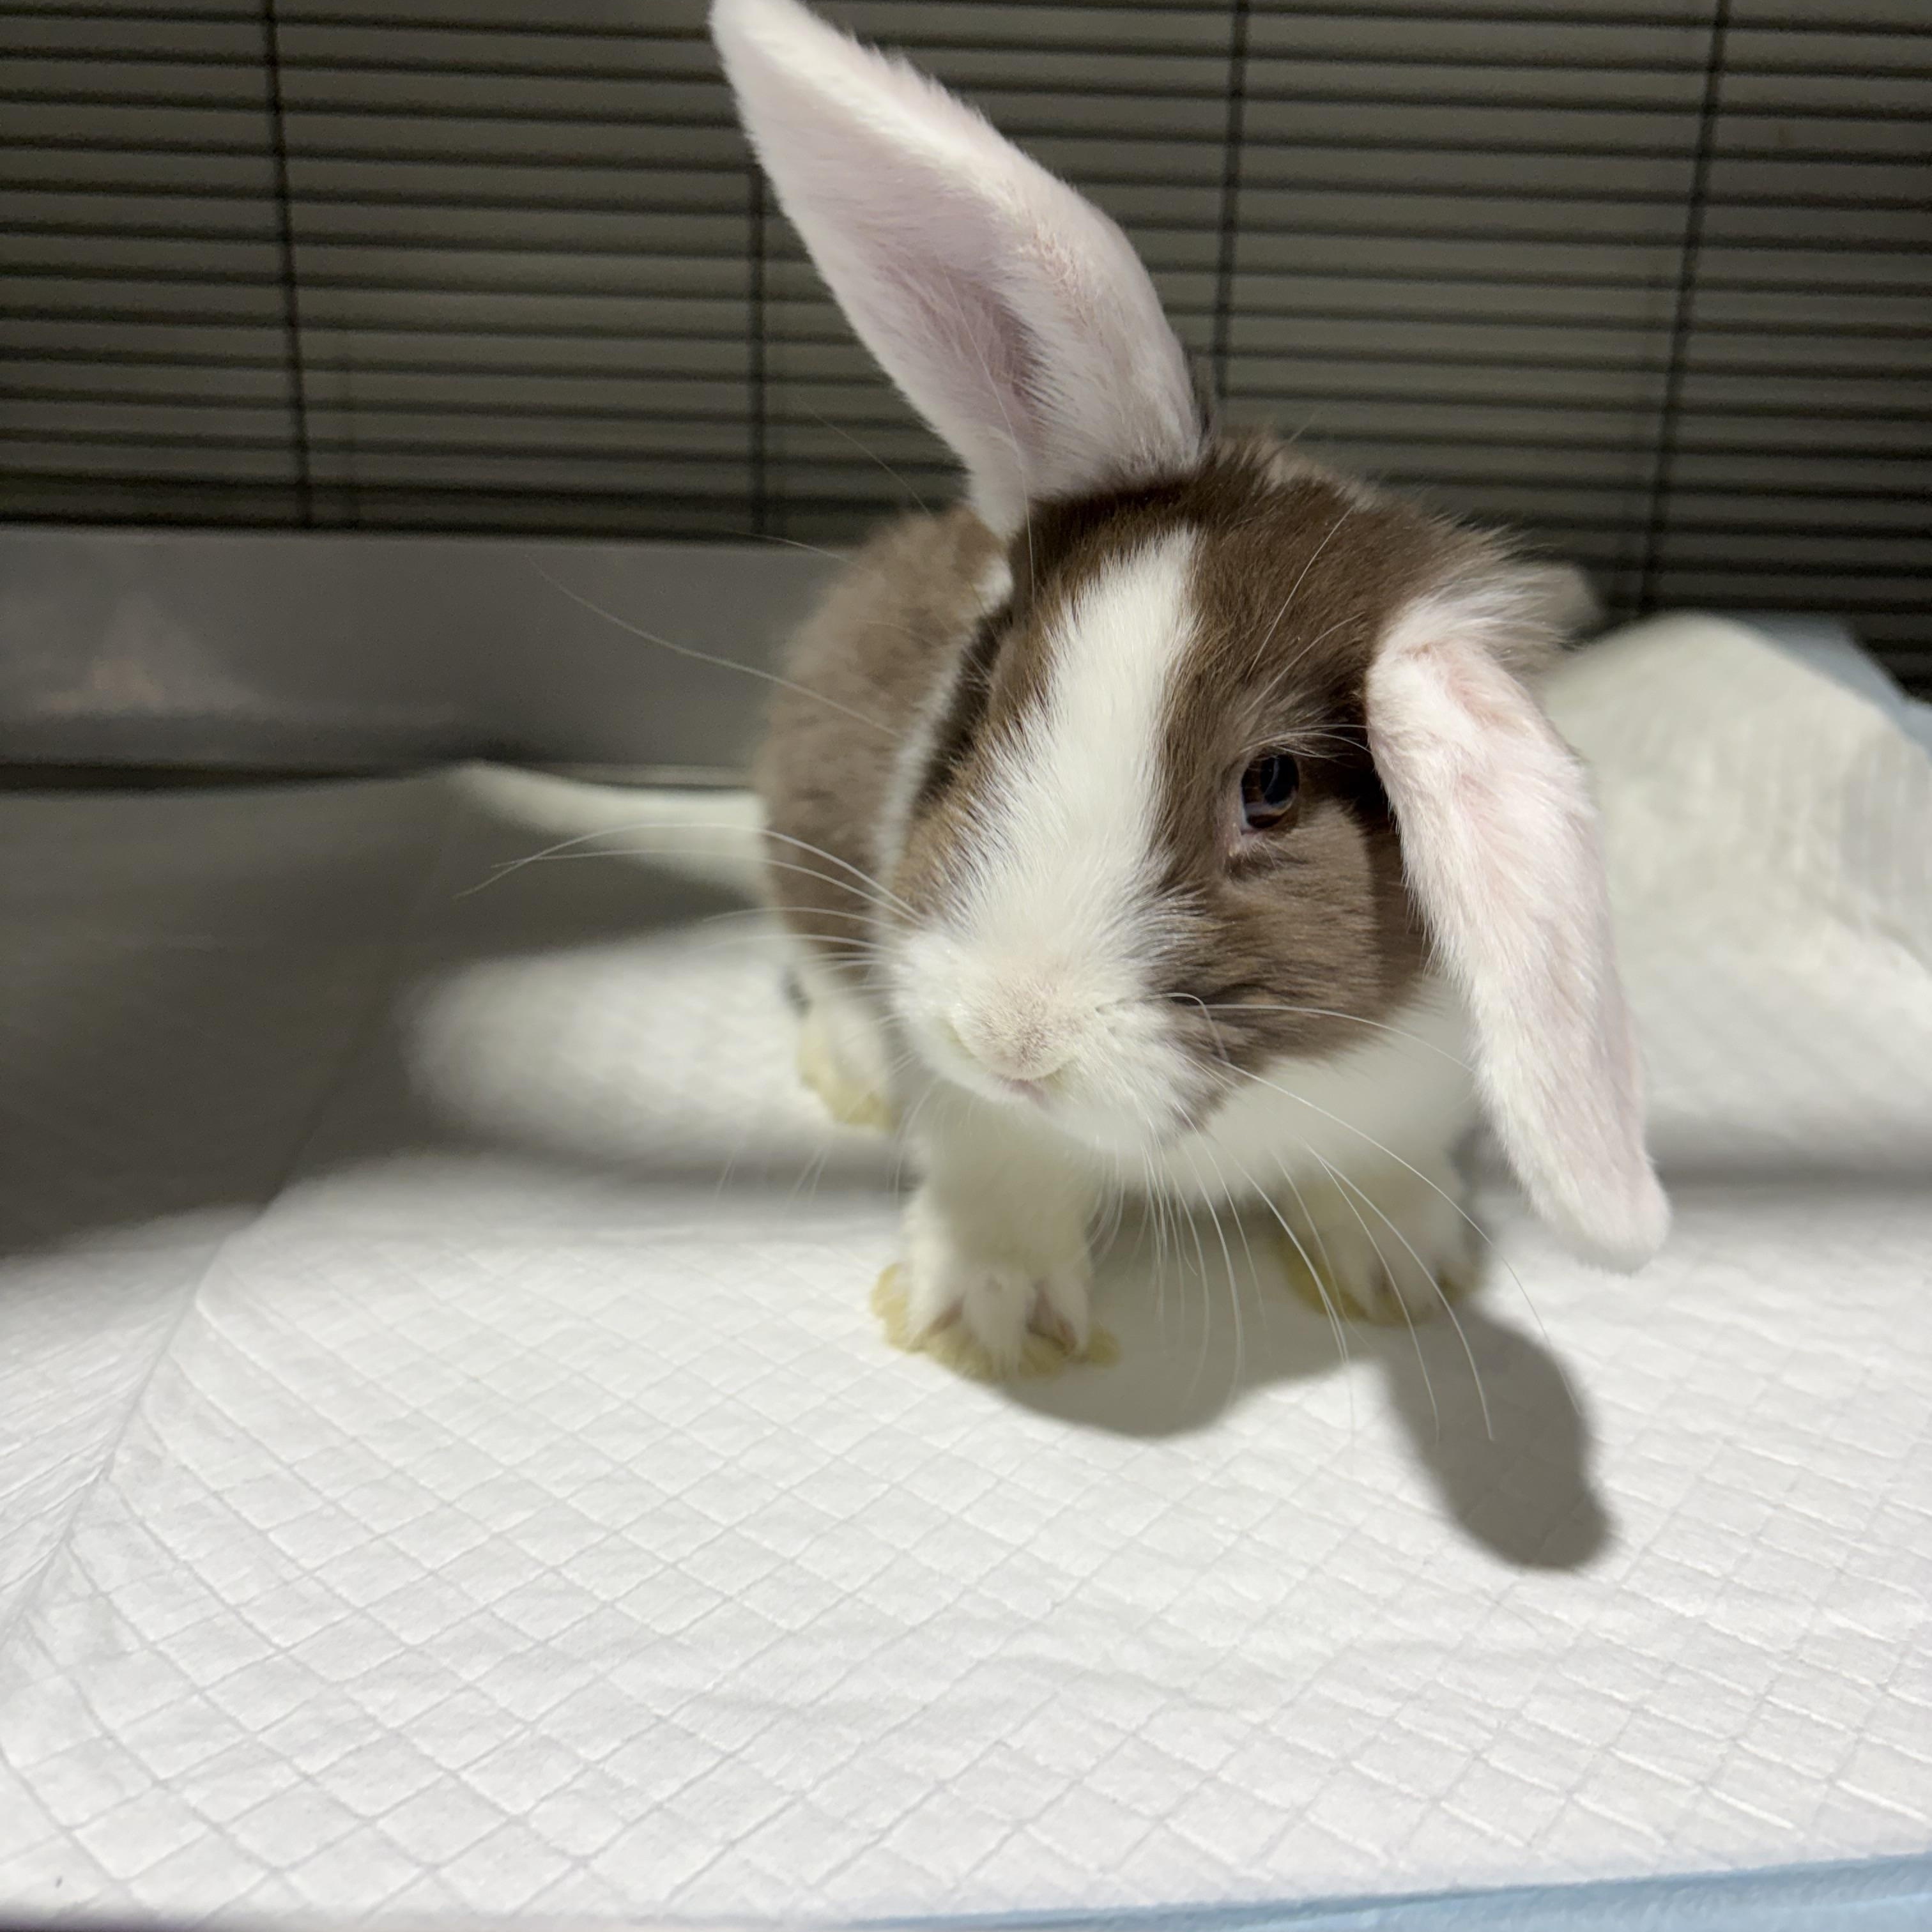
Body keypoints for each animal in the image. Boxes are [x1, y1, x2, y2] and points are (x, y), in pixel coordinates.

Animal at [712, 0, 1669, 1375]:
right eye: (988, 695)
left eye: (1271, 786)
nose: (1012, 1038)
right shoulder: (969, 1093)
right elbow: (999, 1175)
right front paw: (986, 1311)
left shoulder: (1419, 1087)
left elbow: (1382, 1177)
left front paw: (1402, 1269)